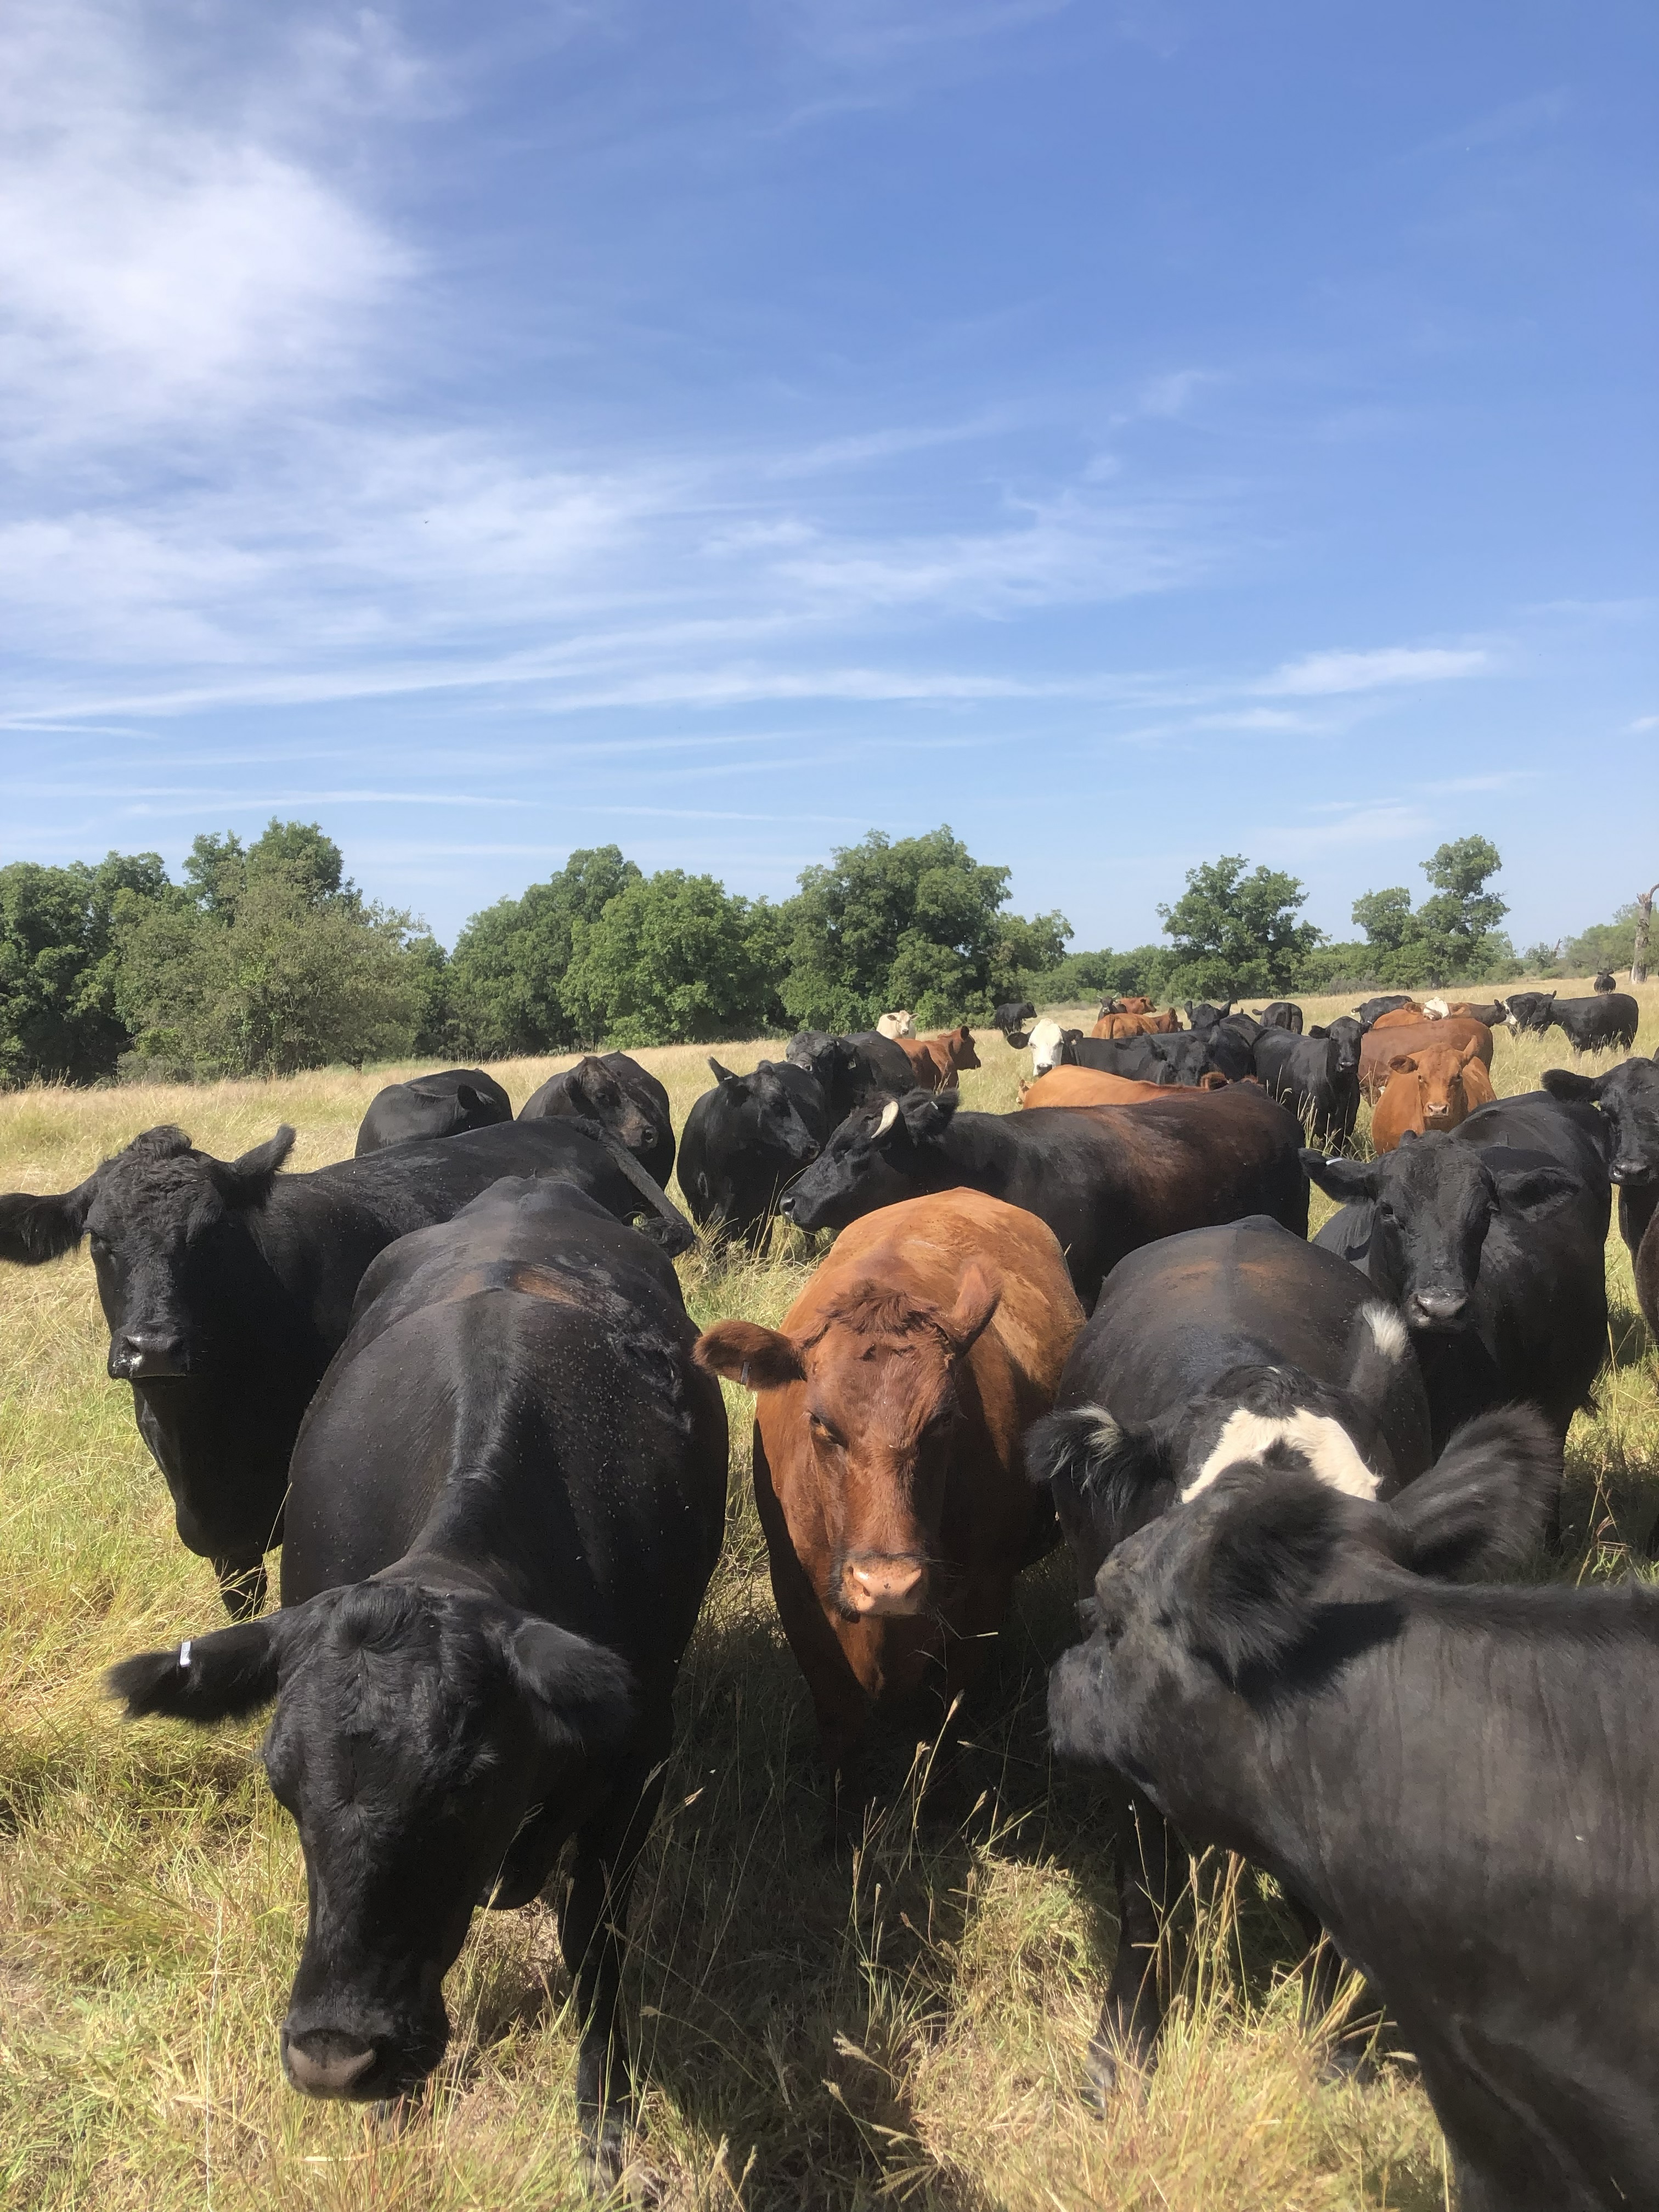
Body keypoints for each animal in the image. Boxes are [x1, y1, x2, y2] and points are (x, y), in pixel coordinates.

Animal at [108, 1178, 727, 2185]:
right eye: (281, 1785)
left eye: (472, 1785)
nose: (335, 2057)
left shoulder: (634, 1773)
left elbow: (595, 1946)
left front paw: (603, 2127)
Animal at [694, 1189, 1081, 1774]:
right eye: (819, 1422)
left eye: (943, 1419)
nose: (887, 1586)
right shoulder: (800, 1601)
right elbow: (841, 1732)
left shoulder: (983, 1598)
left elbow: (945, 1726)